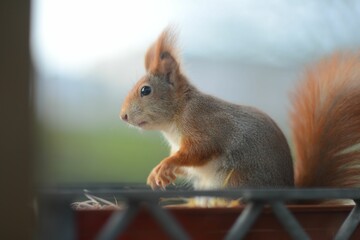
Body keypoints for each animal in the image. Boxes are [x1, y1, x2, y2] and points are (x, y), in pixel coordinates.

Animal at [120, 27, 360, 190]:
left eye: (145, 90)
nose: (123, 116)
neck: (178, 114)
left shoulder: (204, 125)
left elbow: (200, 150)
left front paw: (164, 166)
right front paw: (162, 174)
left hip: (237, 180)